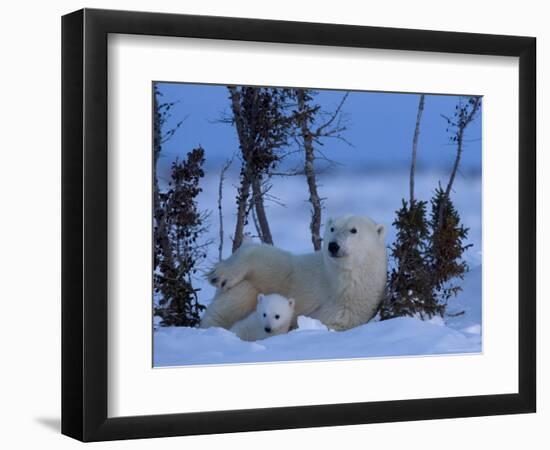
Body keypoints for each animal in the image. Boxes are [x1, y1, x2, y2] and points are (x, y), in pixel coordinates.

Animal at [202, 214, 388, 330]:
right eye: (332, 229)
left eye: (353, 230)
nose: (333, 245)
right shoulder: (303, 274)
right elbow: (274, 263)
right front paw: (220, 275)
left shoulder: (349, 307)